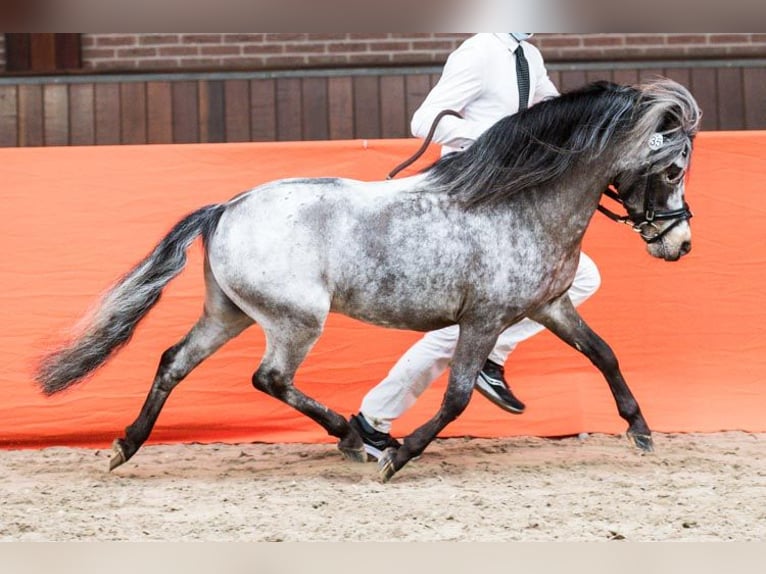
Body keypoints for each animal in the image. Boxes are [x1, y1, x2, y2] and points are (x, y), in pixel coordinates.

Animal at [36, 79, 704, 484]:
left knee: (174, 361)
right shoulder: (484, 319)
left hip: (228, 313)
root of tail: (227, 207)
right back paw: (357, 440)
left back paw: (124, 446)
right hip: (295, 320)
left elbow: (604, 354)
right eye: (673, 168)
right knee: (270, 378)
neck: (522, 203)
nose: (679, 244)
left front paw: (641, 432)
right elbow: (458, 396)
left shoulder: (550, 306)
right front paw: (400, 458)